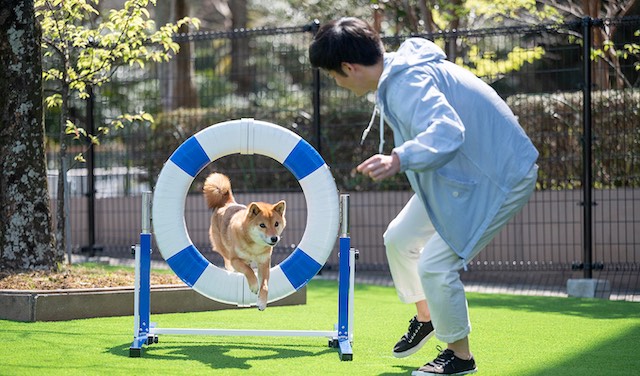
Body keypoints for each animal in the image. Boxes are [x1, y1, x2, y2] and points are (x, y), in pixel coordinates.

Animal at [202, 172, 288, 310]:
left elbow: (264, 285)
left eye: (276, 224)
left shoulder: (264, 263)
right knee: (229, 262)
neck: (254, 247)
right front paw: (254, 285)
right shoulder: (235, 259)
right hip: (223, 249)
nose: (274, 238)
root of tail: (228, 203)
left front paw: (262, 302)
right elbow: (248, 271)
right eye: (262, 225)